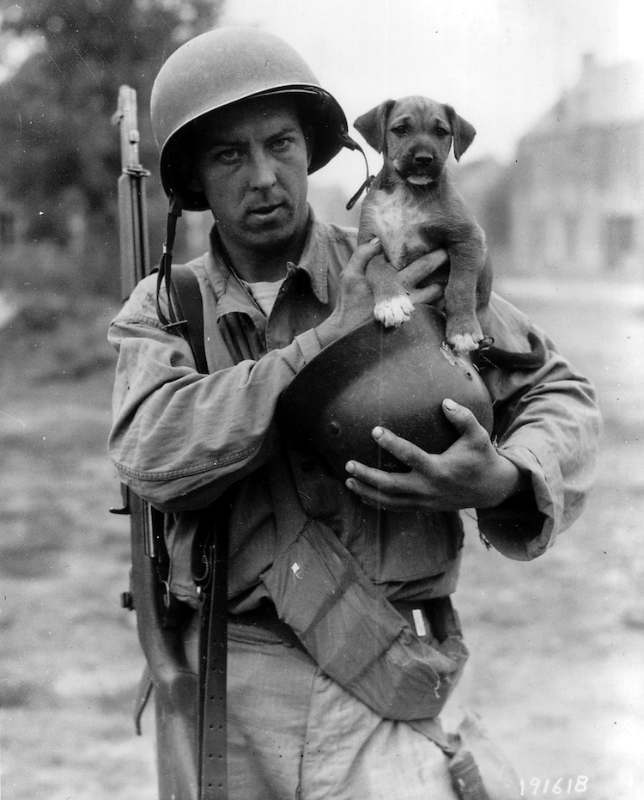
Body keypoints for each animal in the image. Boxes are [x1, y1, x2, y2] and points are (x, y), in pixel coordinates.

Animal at [354, 97, 490, 354]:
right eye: (400, 130)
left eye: (441, 132)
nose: (424, 159)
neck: (408, 192)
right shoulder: (369, 242)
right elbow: (378, 268)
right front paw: (391, 302)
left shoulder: (467, 238)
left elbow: (461, 285)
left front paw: (463, 329)